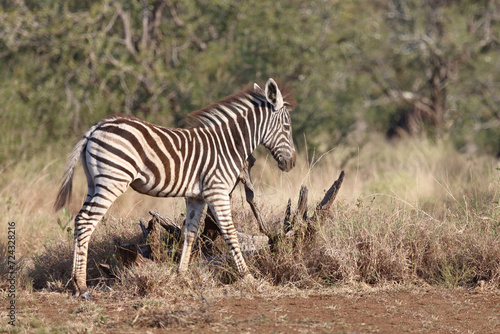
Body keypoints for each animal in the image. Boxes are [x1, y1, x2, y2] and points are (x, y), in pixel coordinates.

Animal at [53, 78, 296, 298]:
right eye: (287, 127)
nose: (291, 164)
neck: (228, 145)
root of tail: (97, 126)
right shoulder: (217, 191)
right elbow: (230, 232)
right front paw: (248, 277)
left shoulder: (197, 197)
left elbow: (190, 232)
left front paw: (182, 275)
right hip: (112, 180)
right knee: (86, 221)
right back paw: (82, 286)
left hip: (95, 182)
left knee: (79, 220)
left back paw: (75, 284)